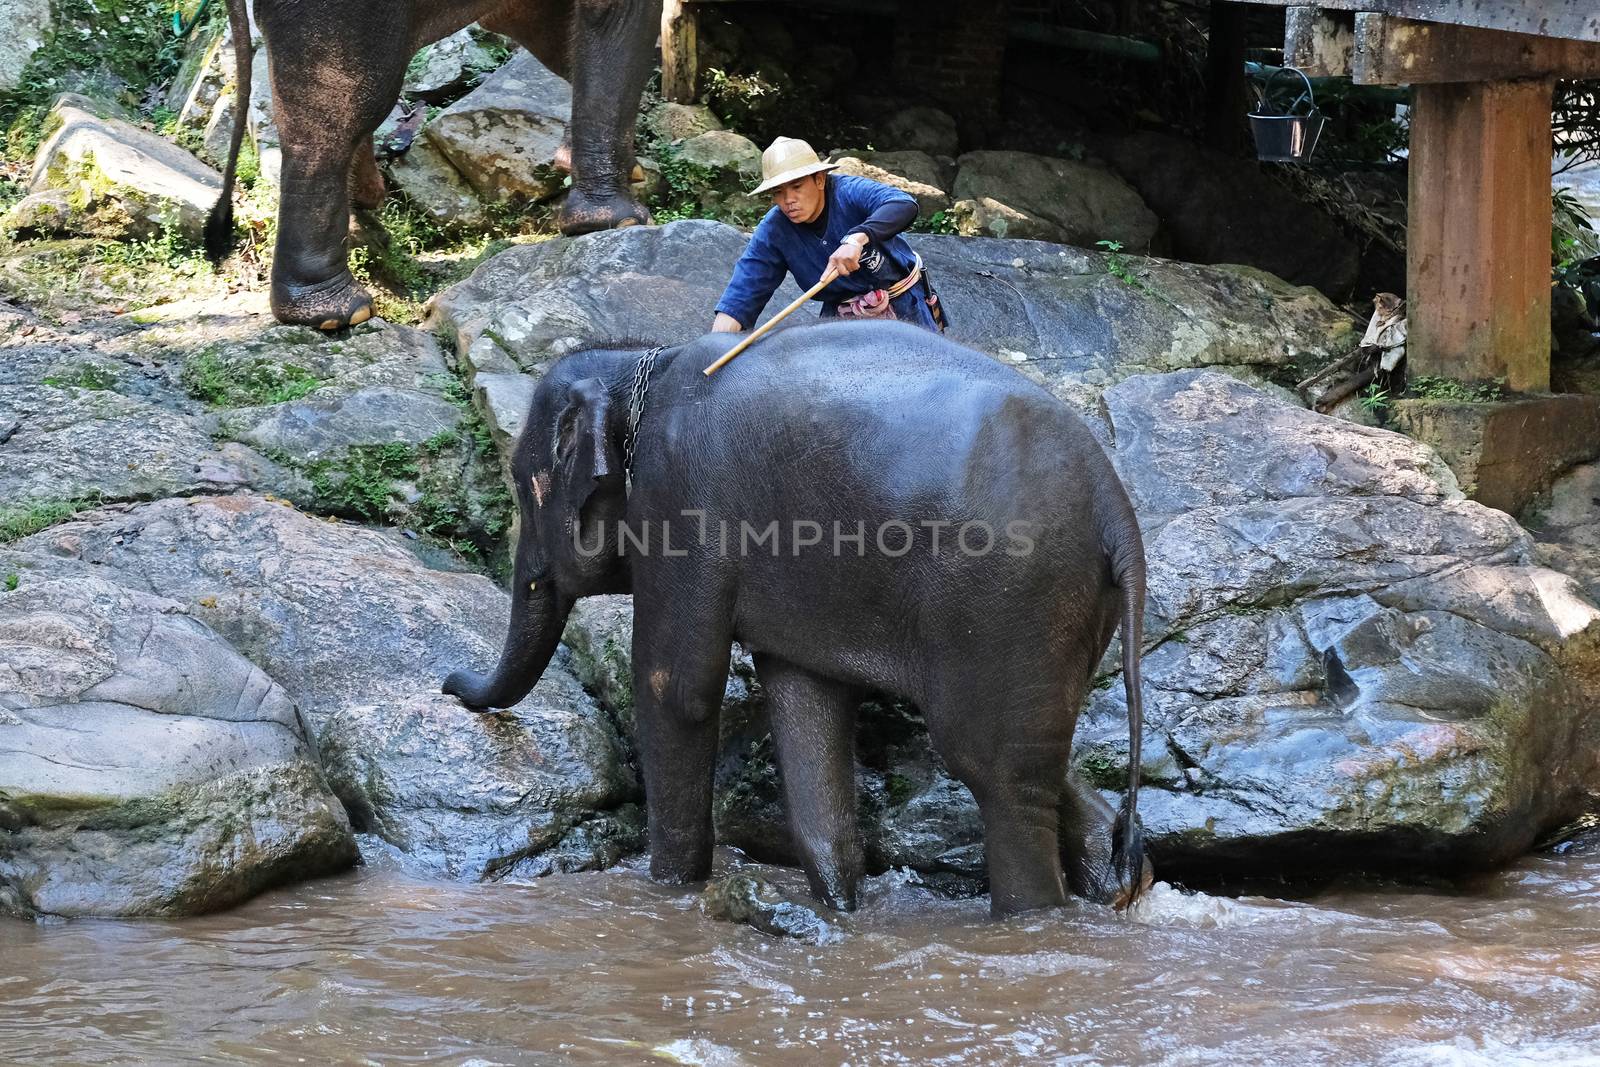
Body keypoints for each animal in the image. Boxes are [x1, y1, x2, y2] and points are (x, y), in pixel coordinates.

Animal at [444, 321, 1158, 915]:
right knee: (1030, 749)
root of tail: (1116, 510)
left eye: (523, 484)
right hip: (1059, 612)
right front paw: (842, 910)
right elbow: (804, 699)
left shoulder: (682, 504)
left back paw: (1031, 918)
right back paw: (1120, 880)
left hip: (1010, 597)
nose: (451, 686)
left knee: (992, 769)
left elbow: (676, 690)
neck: (645, 359)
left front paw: (669, 892)